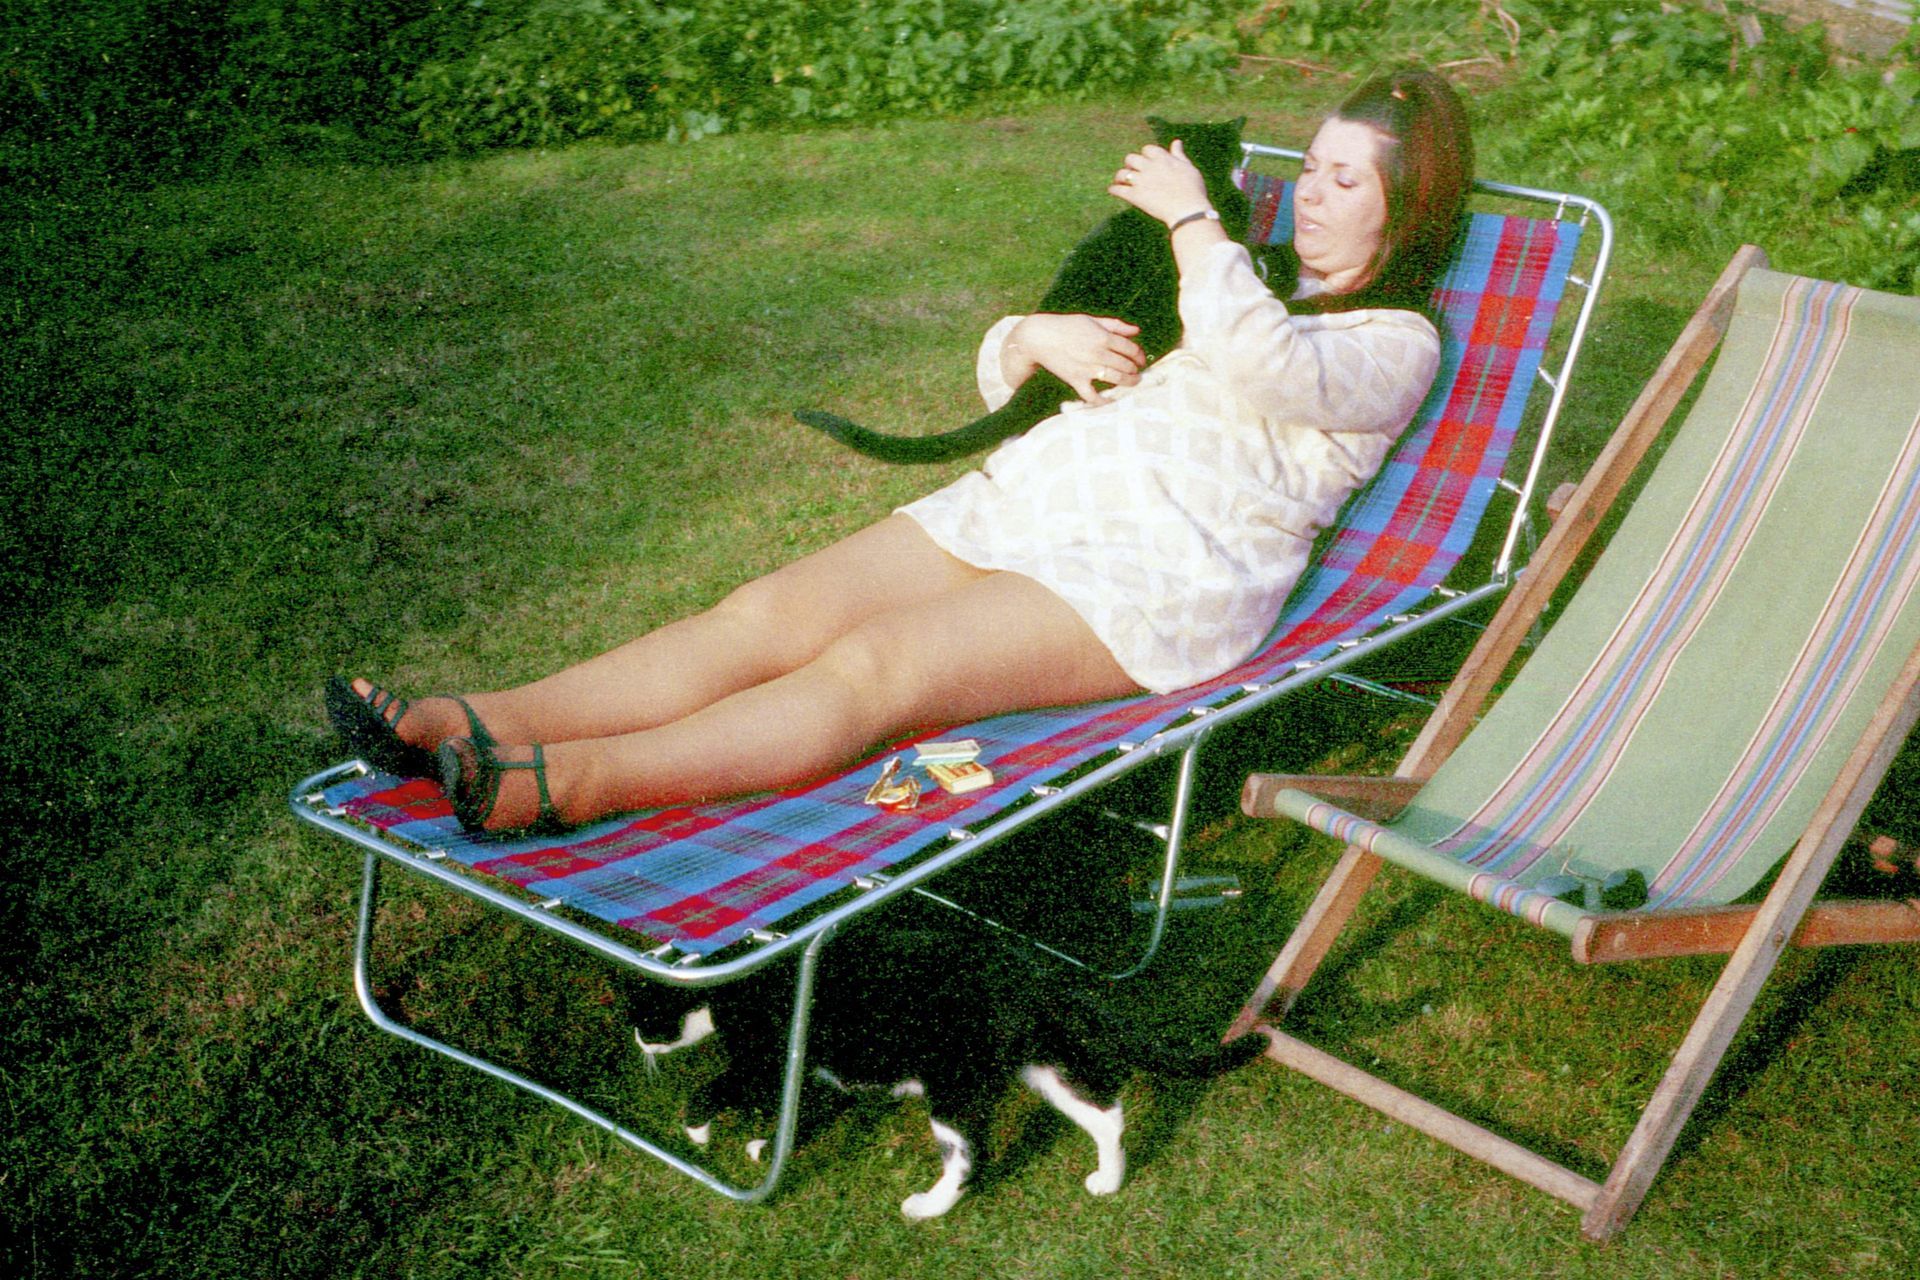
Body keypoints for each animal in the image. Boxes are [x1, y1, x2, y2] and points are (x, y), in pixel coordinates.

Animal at [634, 915, 1261, 1218]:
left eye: (643, 1015)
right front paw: (769, 1146)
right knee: (1107, 1113)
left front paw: (697, 1132)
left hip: (954, 1084)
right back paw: (1108, 1180)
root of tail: (1025, 969)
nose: (637, 1040)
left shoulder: (763, 1059)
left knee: (968, 1156)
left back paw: (927, 1208)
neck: (732, 988)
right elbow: (808, 1112)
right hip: (1039, 1060)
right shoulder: (816, 1074)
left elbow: (715, 1088)